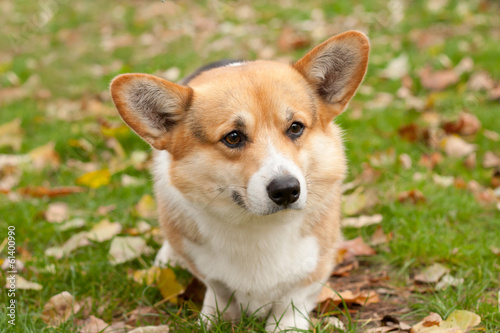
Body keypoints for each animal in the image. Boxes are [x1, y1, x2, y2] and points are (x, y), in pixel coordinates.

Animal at [110, 30, 368, 330]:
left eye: (295, 127)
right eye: (233, 137)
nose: (286, 190)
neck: (258, 228)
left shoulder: (313, 269)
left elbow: (292, 302)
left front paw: (286, 326)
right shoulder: (208, 270)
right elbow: (218, 291)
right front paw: (212, 317)